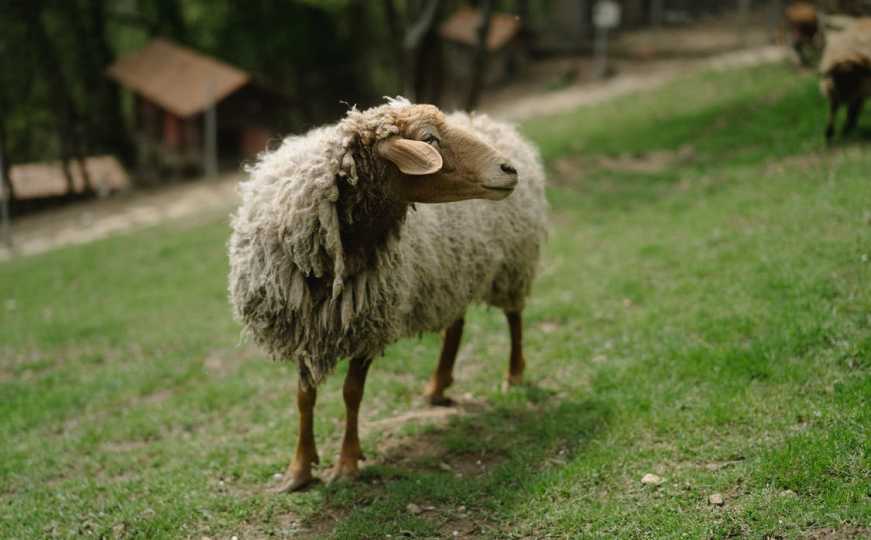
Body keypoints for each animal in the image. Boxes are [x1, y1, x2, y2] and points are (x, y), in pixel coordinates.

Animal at [228, 98, 548, 494]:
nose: (508, 169)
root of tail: (490, 122)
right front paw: (299, 470)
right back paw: (437, 385)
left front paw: (347, 464)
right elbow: (304, 397)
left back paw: (514, 375)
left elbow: (352, 393)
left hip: (513, 262)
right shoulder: (303, 325)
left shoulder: (370, 323)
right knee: (456, 324)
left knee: (514, 317)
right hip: (453, 272)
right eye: (430, 139)